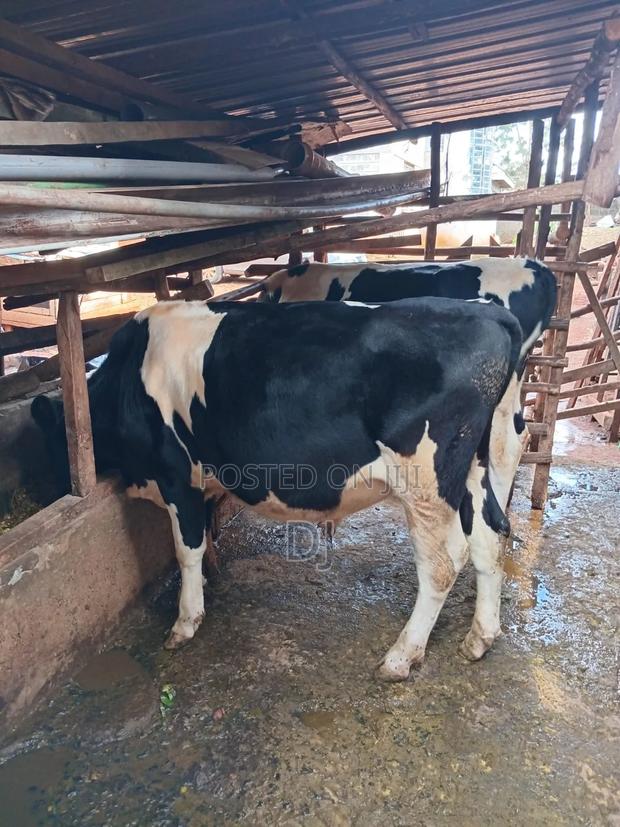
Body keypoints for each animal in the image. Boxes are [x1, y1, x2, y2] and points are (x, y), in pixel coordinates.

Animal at [32, 297, 522, 681]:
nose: (47, 493)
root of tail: (490, 312)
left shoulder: (176, 475)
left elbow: (185, 549)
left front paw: (186, 620)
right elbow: (204, 539)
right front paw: (208, 582)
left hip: (426, 482)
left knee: (441, 566)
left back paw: (401, 657)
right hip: (473, 470)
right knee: (489, 538)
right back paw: (480, 638)